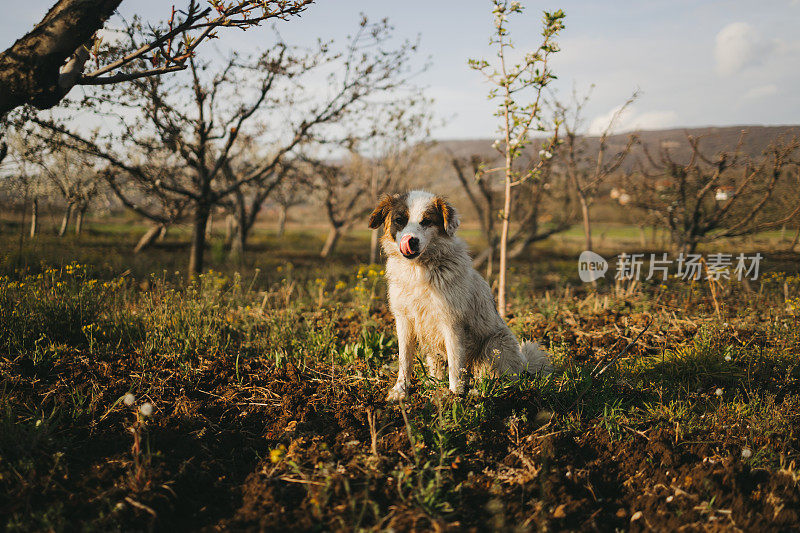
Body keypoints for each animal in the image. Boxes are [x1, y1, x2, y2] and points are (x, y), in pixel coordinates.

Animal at [368, 191, 552, 400]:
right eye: (400, 220)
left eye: (426, 221)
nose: (411, 240)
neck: (418, 270)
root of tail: (524, 366)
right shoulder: (404, 321)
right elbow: (404, 361)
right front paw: (400, 390)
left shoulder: (452, 322)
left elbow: (456, 365)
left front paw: (455, 395)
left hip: (495, 344)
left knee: (495, 376)